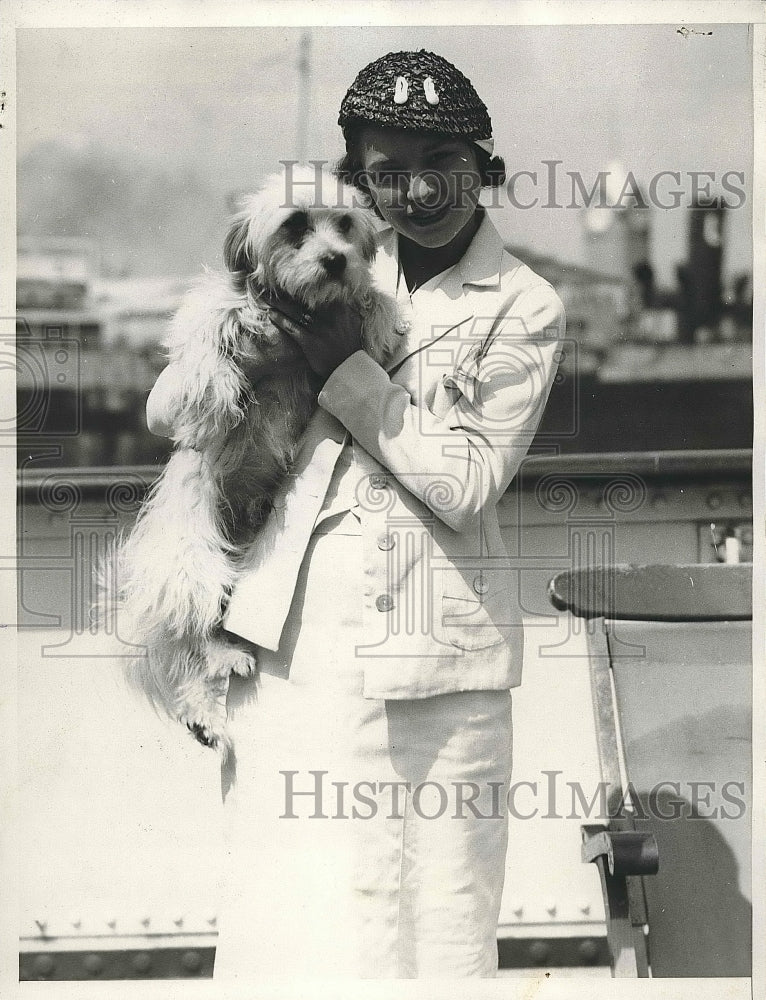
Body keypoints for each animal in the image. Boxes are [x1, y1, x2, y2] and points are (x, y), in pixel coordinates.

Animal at [113, 168, 404, 752]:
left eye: (345, 224)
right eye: (295, 226)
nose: (335, 260)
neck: (298, 303)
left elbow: (370, 296)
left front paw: (381, 319)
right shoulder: (218, 310)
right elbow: (208, 336)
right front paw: (213, 401)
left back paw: (211, 699)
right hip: (195, 563)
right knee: (193, 638)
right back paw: (212, 686)